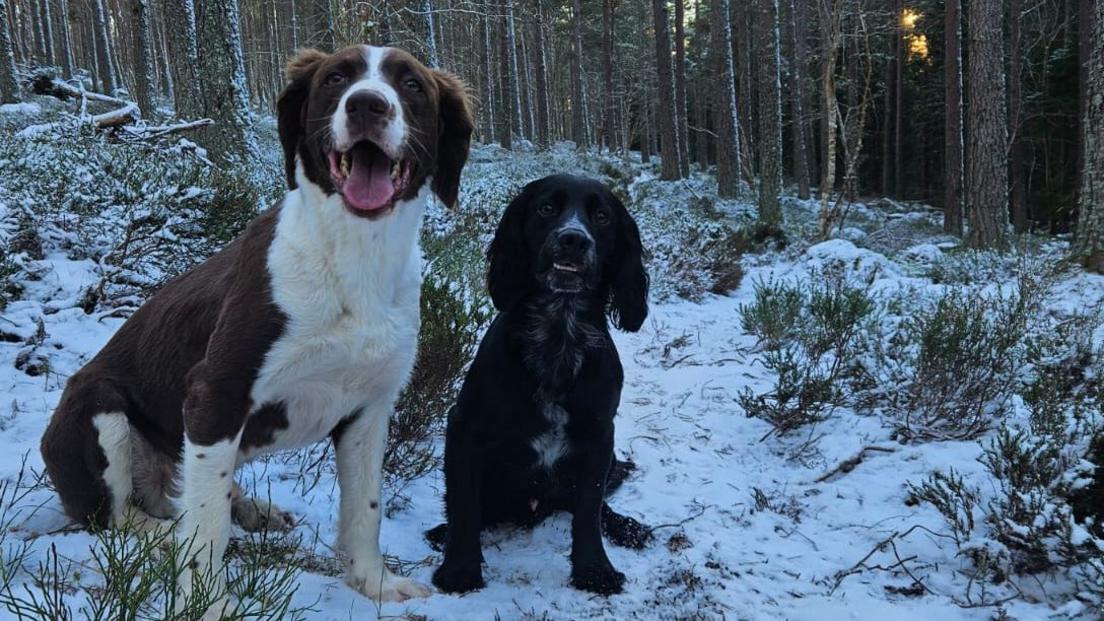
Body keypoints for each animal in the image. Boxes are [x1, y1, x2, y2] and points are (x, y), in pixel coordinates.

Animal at [37, 45, 470, 609]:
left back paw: (250, 508)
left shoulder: (369, 408)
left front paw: (374, 583)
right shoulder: (214, 393)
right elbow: (206, 528)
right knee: (118, 516)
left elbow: (365, 511)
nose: (367, 106)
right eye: (336, 79)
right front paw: (206, 604)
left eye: (412, 85)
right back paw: (164, 534)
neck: (352, 257)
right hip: (99, 407)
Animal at [426, 175, 649, 596]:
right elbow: (464, 505)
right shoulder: (463, 426)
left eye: (602, 216)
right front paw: (460, 569)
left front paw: (595, 569)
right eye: (546, 208)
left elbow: (589, 509)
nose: (573, 240)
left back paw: (628, 527)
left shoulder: (600, 434)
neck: (559, 332)